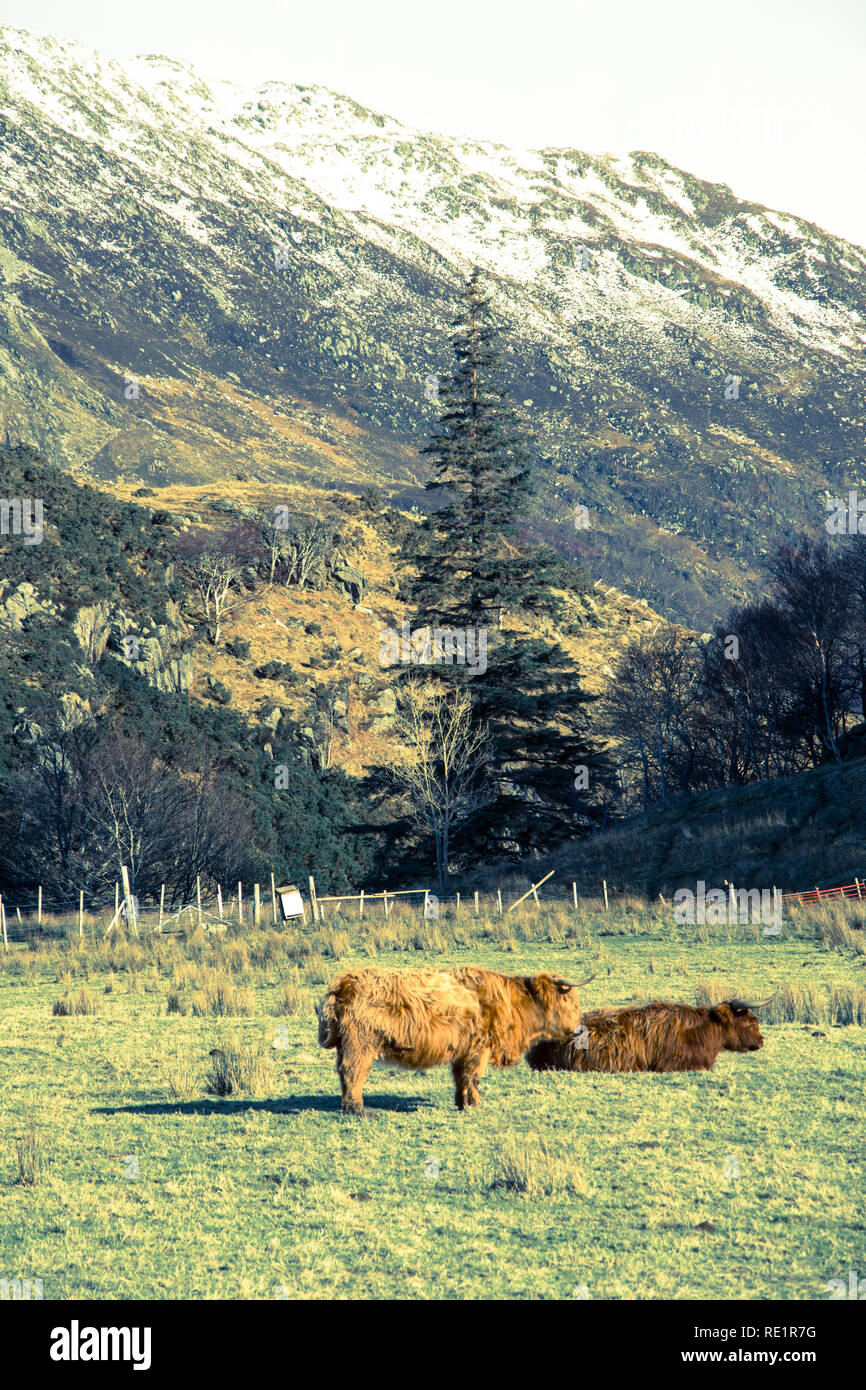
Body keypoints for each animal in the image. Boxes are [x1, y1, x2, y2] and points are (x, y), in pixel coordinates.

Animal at [318, 967, 589, 1117]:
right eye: (569, 1001)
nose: (578, 1029)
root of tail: (344, 981)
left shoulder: (463, 1051)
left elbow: (460, 1077)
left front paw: (462, 1103)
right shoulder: (479, 1049)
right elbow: (473, 1078)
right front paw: (476, 1105)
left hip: (345, 1045)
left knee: (343, 1073)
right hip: (360, 1043)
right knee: (353, 1072)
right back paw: (358, 1110)